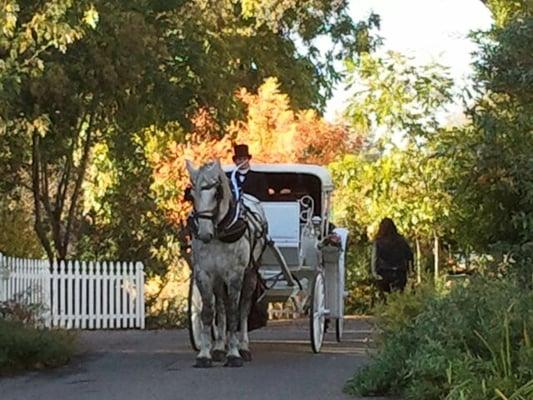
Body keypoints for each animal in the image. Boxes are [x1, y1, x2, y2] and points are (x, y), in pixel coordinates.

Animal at [187, 159, 268, 368]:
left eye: (216, 194)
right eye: (191, 195)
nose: (204, 233)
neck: (220, 234)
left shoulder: (235, 274)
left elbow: (234, 312)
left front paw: (234, 353)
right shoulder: (204, 273)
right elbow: (209, 312)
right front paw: (205, 354)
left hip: (250, 275)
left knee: (244, 308)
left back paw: (243, 347)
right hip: (218, 279)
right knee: (221, 307)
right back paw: (218, 347)